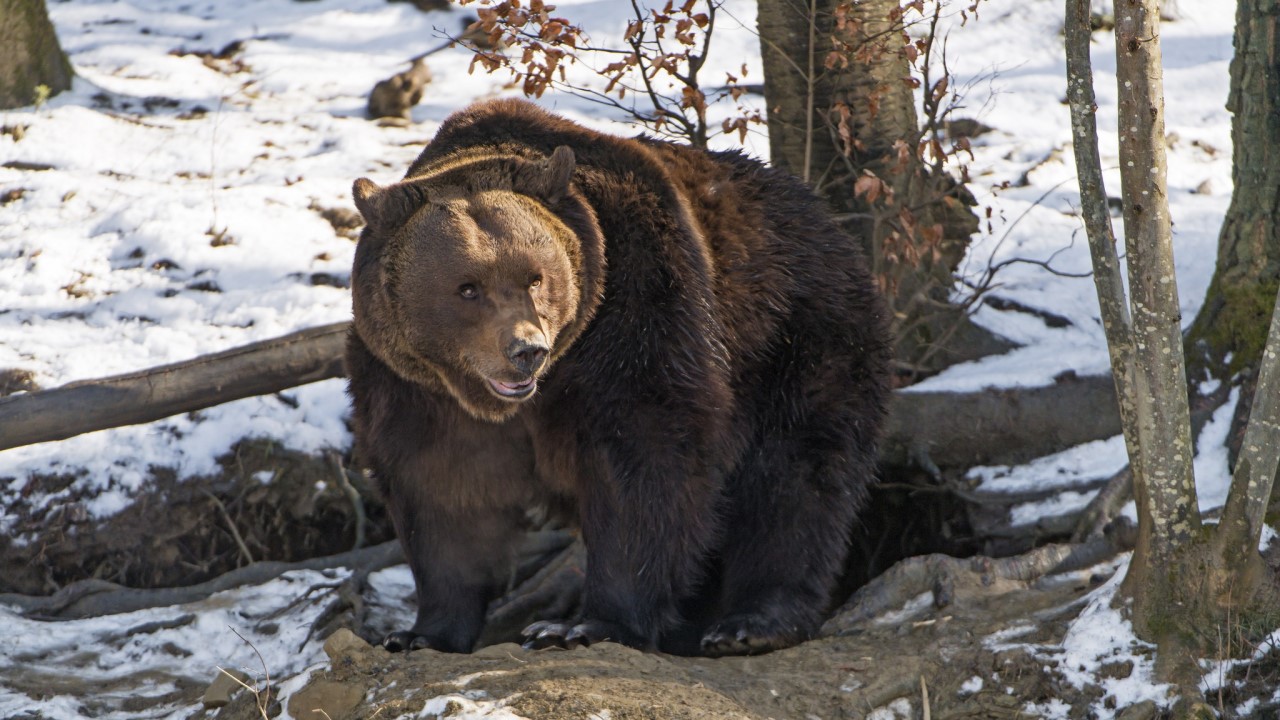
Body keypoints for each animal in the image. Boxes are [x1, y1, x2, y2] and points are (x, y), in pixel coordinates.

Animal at [348, 98, 890, 653]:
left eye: (535, 277)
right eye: (467, 287)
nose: (526, 351)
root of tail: (825, 216)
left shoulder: (637, 308)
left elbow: (642, 456)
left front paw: (581, 625)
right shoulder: (412, 382)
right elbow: (442, 489)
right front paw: (419, 633)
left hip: (795, 336)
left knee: (794, 475)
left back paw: (751, 623)